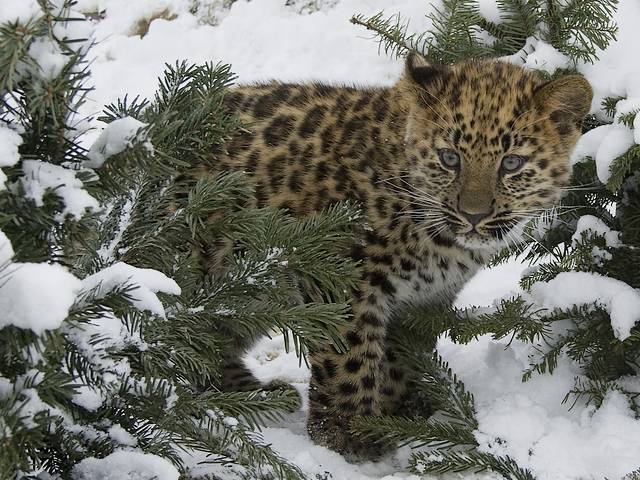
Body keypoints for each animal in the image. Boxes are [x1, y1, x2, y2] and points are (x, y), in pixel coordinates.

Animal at [200, 53, 592, 459]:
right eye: (449, 158)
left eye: (511, 164)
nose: (473, 215)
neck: (438, 241)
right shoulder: (339, 277)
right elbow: (349, 354)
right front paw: (346, 430)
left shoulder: (424, 297)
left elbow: (404, 352)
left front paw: (400, 410)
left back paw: (252, 395)